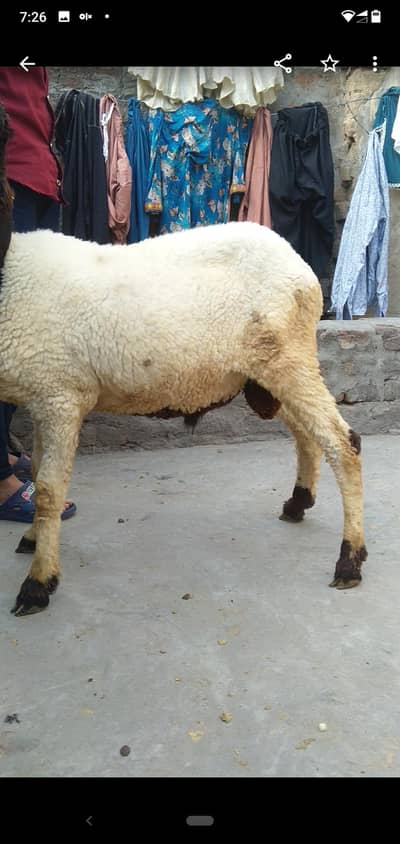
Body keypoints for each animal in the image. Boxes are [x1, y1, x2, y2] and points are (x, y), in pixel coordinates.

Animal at [0, 109, 367, 617]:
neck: (10, 274)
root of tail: (299, 263)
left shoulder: (60, 396)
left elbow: (51, 490)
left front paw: (38, 583)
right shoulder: (42, 397)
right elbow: (35, 473)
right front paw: (34, 542)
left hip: (289, 358)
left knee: (341, 443)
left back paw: (350, 559)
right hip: (270, 369)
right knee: (306, 434)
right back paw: (298, 503)